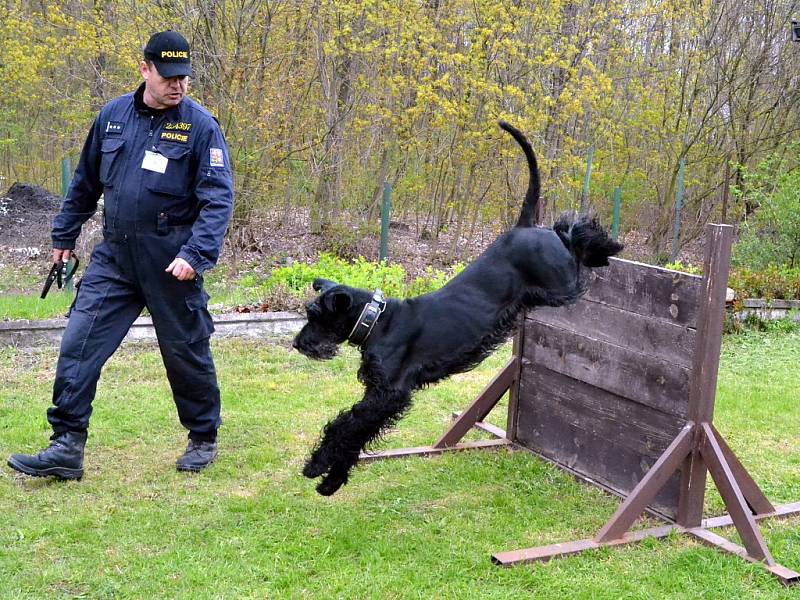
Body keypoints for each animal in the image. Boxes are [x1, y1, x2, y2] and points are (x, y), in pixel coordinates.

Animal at [294, 122, 624, 496]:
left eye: (315, 316)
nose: (298, 343)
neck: (377, 321)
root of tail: (522, 227)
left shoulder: (389, 393)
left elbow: (347, 426)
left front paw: (318, 464)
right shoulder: (378, 394)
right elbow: (355, 430)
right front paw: (332, 479)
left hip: (562, 284)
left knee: (572, 230)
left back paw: (605, 246)